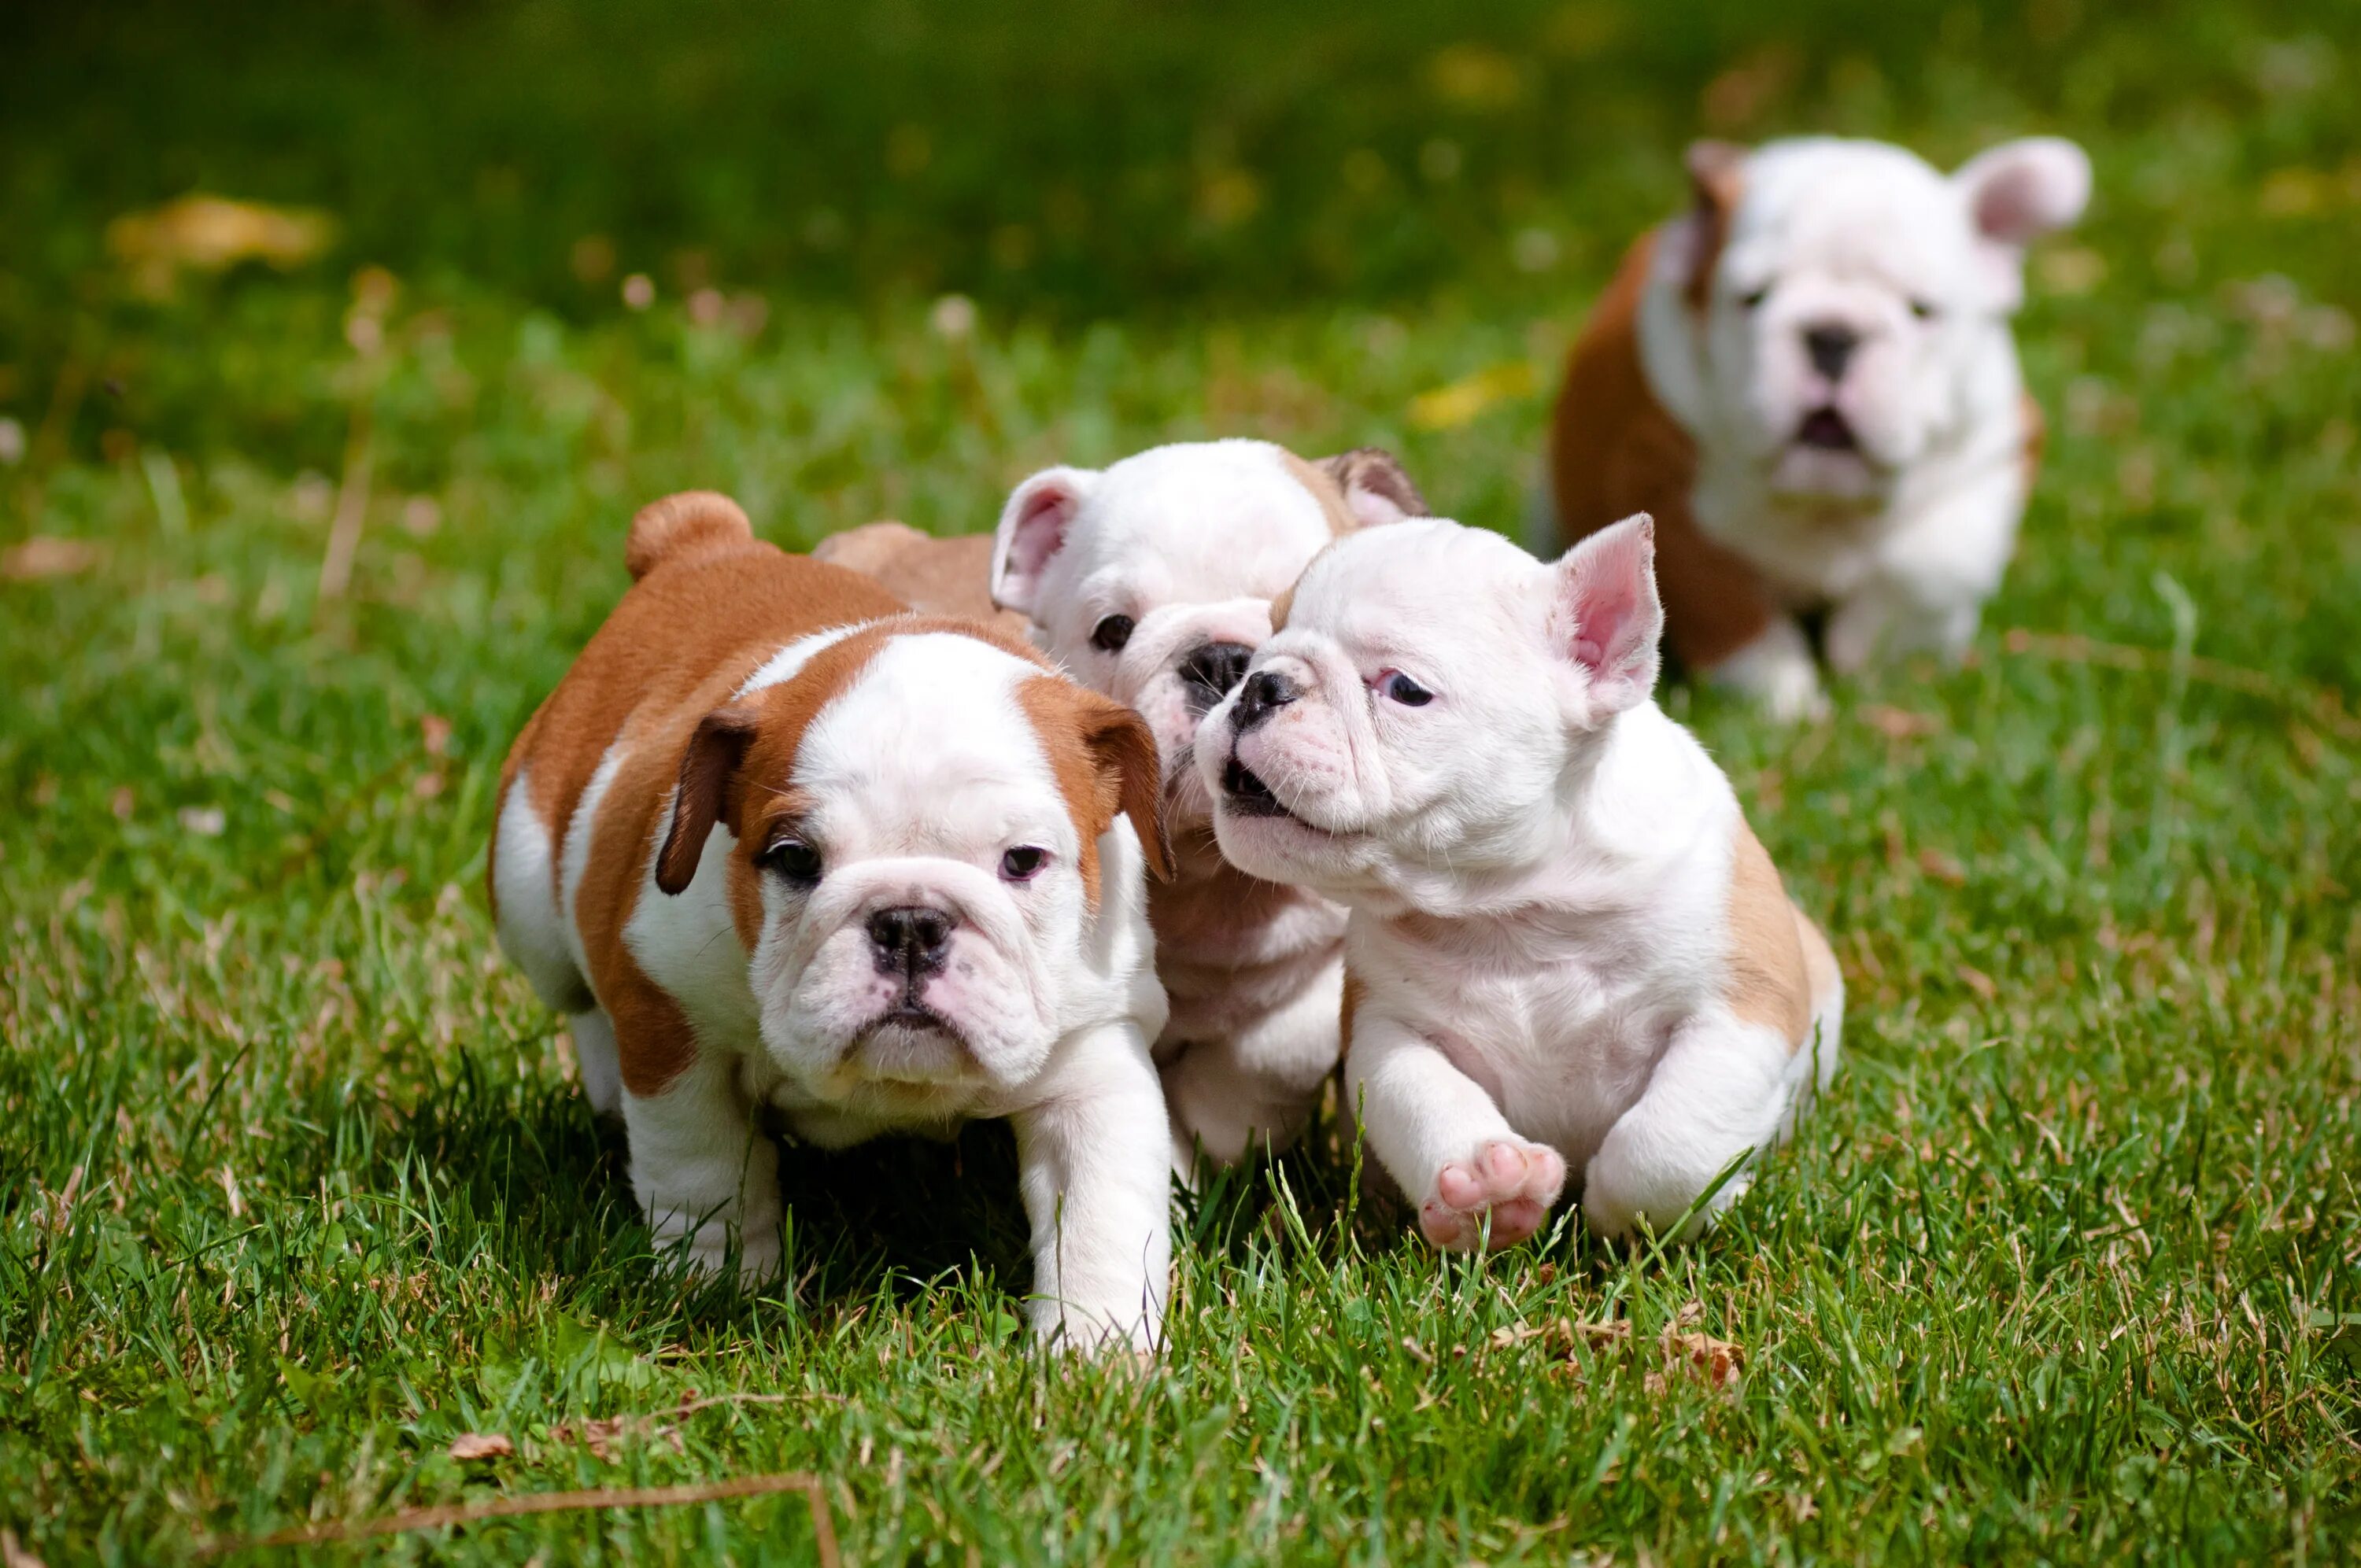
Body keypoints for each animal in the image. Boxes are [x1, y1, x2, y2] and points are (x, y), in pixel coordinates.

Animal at [493, 493, 1176, 1350]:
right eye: (794, 859)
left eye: (1023, 860)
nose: (911, 922)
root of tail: (698, 544)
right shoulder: (673, 1026)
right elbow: (702, 1171)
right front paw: (716, 1287)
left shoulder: (1095, 1054)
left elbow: (1099, 1212)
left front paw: (1098, 1348)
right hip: (528, 886)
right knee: (578, 992)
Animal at [1199, 515, 1842, 1246]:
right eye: (1262, 646)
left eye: (1404, 688)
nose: (1259, 685)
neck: (1512, 906)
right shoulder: (1387, 1027)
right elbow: (1424, 1098)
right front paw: (1487, 1186)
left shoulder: (1740, 1007)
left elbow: (1670, 1143)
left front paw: (1627, 1211)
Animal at [1549, 136, 2087, 722]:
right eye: (1753, 298)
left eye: (1922, 310)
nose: (1833, 335)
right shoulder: (1663, 485)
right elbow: (1724, 598)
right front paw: (1781, 695)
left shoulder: (1995, 449)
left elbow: (1931, 562)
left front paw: (1878, 655)